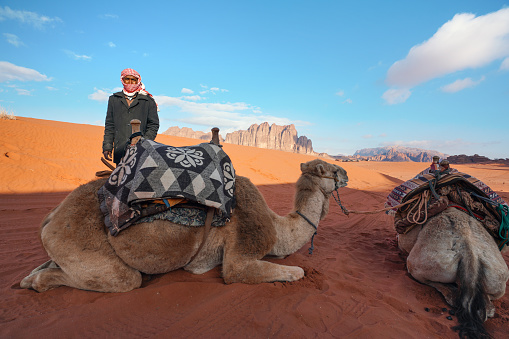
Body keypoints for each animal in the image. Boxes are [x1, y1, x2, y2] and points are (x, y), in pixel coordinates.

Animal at [18, 158, 346, 294]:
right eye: (330, 169)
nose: (345, 174)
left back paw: (28, 277)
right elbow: (295, 271)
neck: (279, 229)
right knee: (124, 280)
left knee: (47, 264)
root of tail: (51, 217)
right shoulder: (241, 253)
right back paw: (35, 283)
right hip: (89, 250)